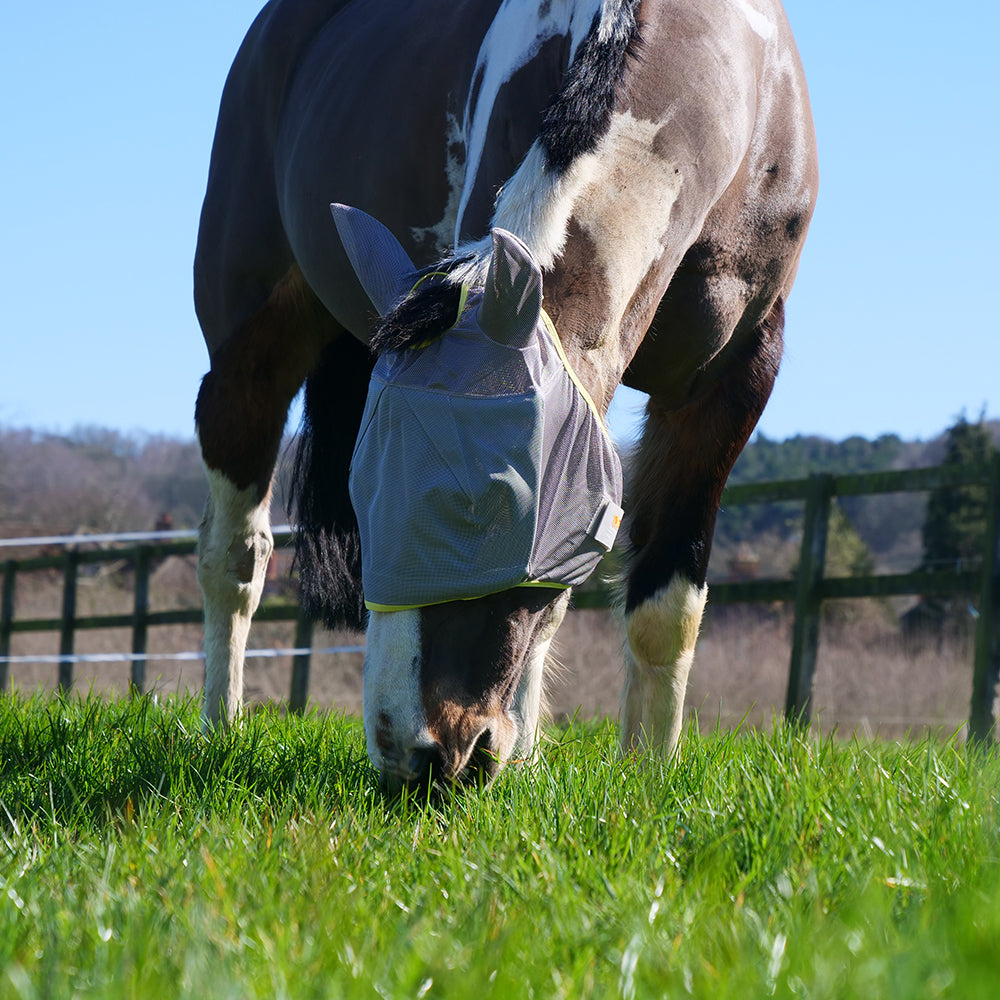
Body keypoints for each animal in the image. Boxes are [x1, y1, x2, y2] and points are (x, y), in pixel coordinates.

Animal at [193, 0, 812, 788]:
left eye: (497, 501)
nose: (421, 754)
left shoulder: (729, 387)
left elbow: (663, 607)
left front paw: (647, 776)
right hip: (249, 351)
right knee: (235, 557)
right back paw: (218, 728)